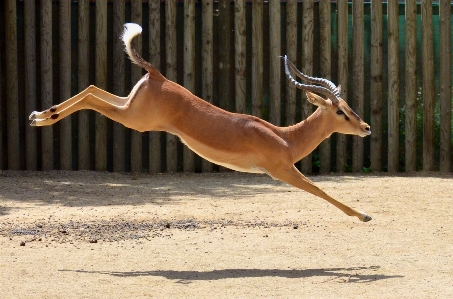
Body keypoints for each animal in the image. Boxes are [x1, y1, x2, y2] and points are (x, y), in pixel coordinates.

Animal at [30, 23, 370, 223]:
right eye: (341, 112)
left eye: (349, 107)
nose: (365, 127)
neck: (286, 137)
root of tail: (157, 75)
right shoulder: (282, 171)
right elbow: (320, 190)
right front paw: (364, 215)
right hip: (135, 119)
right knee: (90, 97)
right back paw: (43, 118)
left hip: (129, 107)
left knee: (91, 89)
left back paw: (39, 116)